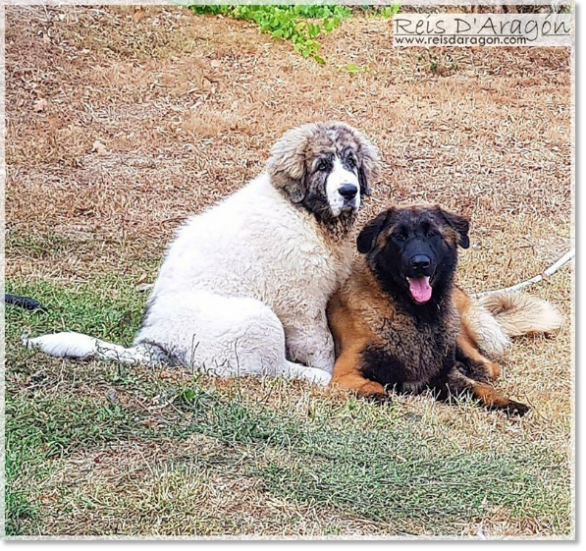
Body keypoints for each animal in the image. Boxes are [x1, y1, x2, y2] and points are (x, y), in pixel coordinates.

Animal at [24, 123, 378, 386]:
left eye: (351, 163)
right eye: (323, 165)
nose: (349, 191)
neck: (306, 213)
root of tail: (156, 343)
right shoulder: (301, 304)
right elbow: (321, 343)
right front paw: (332, 372)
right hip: (256, 319)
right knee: (271, 367)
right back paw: (314, 376)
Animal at [326, 205, 560, 416]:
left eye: (432, 234)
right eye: (399, 236)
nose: (420, 263)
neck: (416, 316)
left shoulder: (444, 376)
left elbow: (480, 388)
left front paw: (507, 402)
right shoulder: (344, 374)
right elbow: (374, 386)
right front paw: (379, 396)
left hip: (457, 328)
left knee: (488, 368)